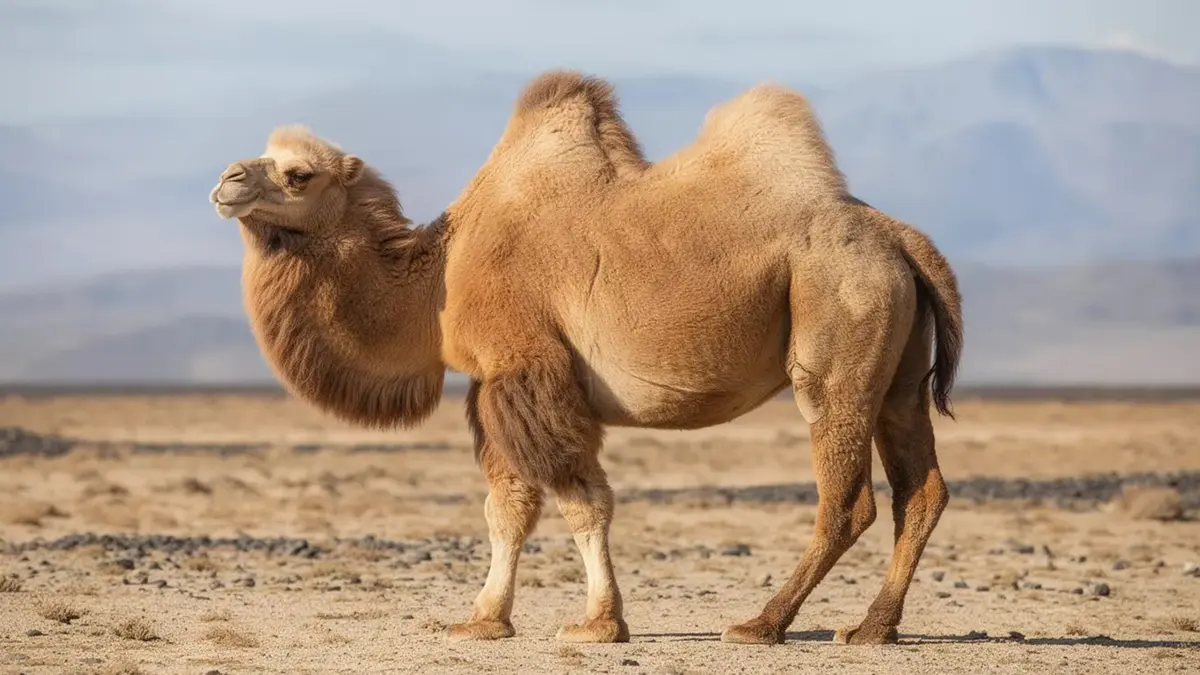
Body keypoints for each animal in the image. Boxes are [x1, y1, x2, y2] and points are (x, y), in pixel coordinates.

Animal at [208, 70, 963, 646]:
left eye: (298, 173)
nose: (226, 179)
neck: (436, 277)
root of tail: (902, 237)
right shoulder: (496, 384)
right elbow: (508, 505)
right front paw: (485, 619)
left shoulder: (524, 366)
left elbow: (573, 499)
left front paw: (596, 623)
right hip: (896, 368)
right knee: (921, 489)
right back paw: (872, 628)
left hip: (837, 328)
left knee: (847, 497)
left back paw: (761, 624)